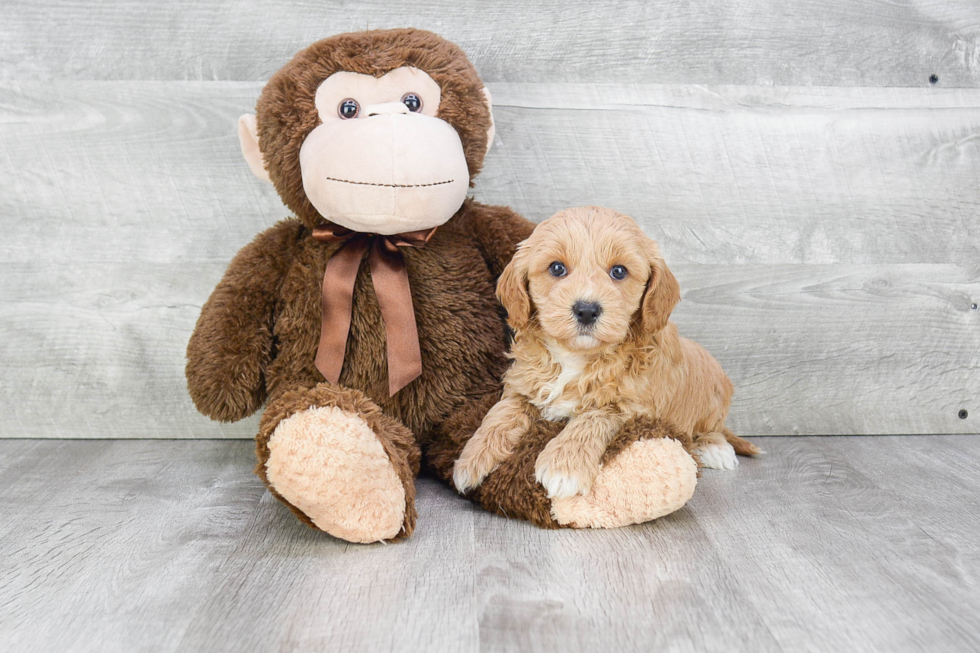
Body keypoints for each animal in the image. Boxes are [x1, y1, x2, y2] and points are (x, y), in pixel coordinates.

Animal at [452, 206, 756, 496]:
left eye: (619, 271)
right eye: (557, 268)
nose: (586, 310)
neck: (575, 356)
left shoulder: (628, 405)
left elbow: (591, 418)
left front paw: (564, 466)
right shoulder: (522, 385)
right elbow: (501, 413)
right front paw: (471, 458)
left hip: (713, 396)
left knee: (713, 428)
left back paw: (717, 449)